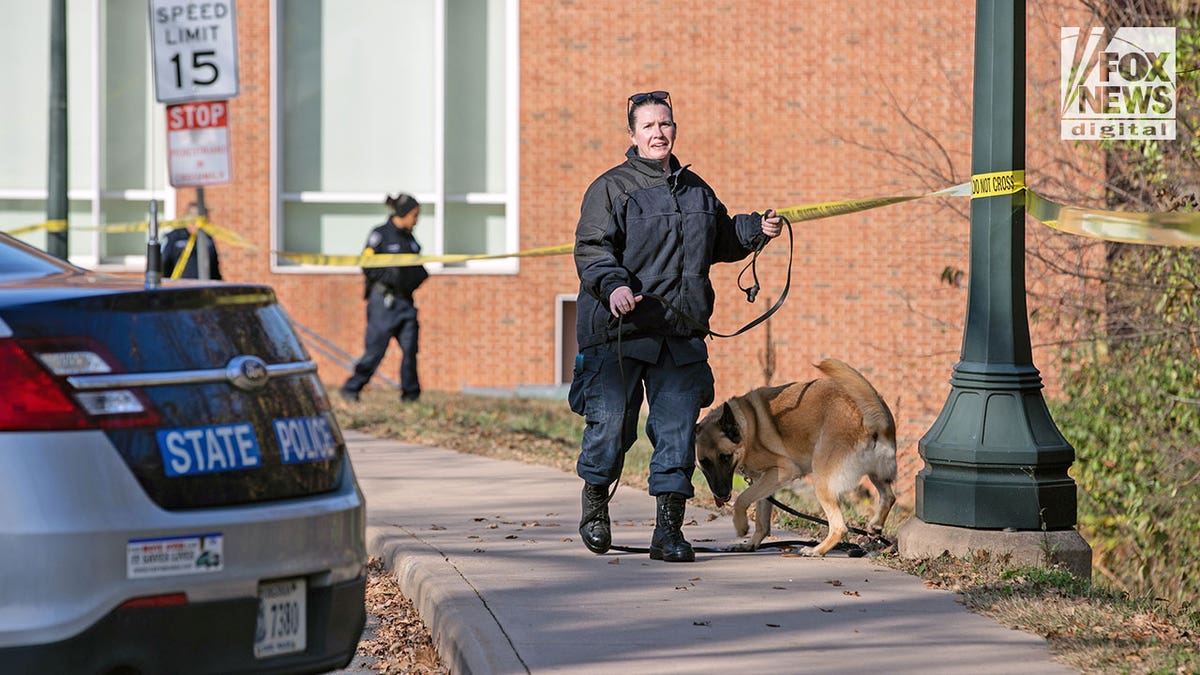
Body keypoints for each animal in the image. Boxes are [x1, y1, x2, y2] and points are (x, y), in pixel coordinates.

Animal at [691, 357, 897, 552]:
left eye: (725, 457)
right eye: (704, 462)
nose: (720, 494)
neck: (747, 427)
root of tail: (870, 419)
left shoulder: (783, 471)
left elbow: (742, 499)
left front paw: (741, 526)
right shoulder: (764, 481)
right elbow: (762, 520)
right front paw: (751, 544)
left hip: (821, 480)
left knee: (840, 528)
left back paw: (816, 550)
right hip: (876, 473)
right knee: (889, 496)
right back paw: (875, 526)